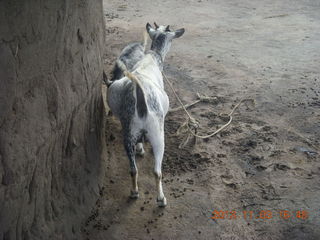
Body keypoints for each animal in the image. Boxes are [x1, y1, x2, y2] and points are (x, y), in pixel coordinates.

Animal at [107, 22, 185, 206]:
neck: (152, 58)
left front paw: (140, 149)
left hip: (129, 132)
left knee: (133, 169)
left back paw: (134, 192)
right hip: (158, 135)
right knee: (157, 171)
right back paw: (161, 199)